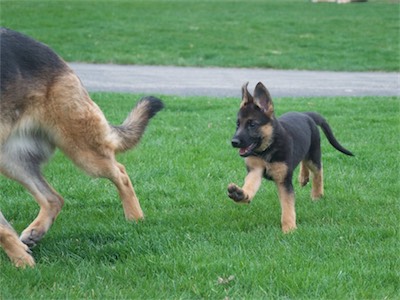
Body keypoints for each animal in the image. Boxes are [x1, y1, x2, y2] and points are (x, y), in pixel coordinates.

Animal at [0, 28, 163, 268]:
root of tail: (55, 56)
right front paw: (21, 257)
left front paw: (22, 262)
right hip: (11, 159)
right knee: (54, 199)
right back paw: (36, 231)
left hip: (82, 148)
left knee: (120, 172)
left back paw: (135, 218)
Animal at [228, 82, 354, 234]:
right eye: (238, 124)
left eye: (252, 124)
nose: (234, 142)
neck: (268, 149)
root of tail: (305, 115)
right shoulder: (255, 170)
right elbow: (250, 186)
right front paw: (241, 194)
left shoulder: (284, 180)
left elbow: (287, 205)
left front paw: (289, 229)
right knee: (303, 161)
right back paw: (303, 177)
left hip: (313, 155)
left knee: (318, 172)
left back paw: (317, 194)